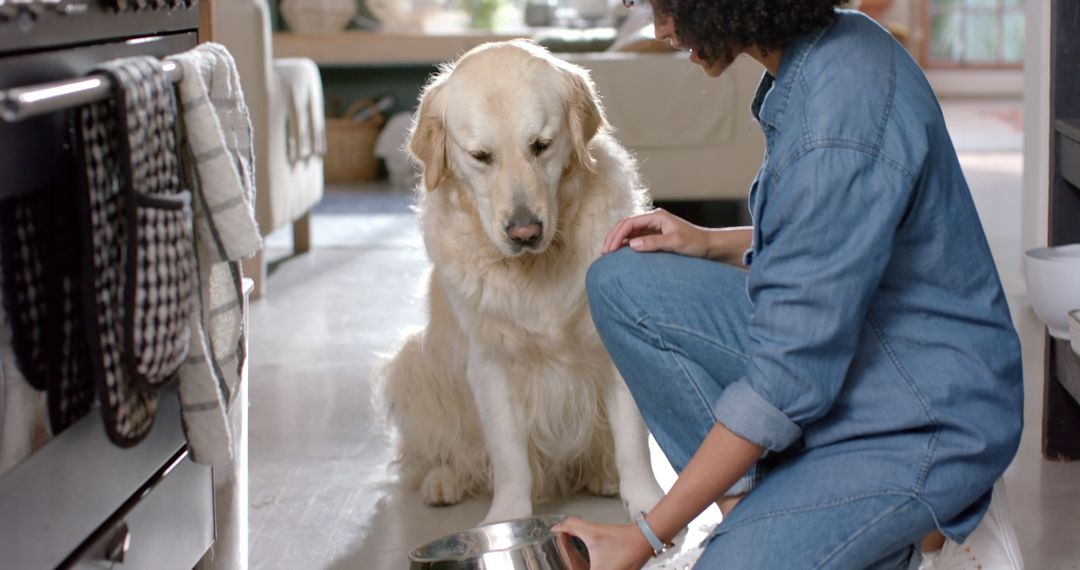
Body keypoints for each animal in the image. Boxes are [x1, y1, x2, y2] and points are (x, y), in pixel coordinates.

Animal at [380, 38, 665, 524]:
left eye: (541, 146)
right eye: (480, 156)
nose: (525, 232)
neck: (538, 268)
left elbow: (631, 441)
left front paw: (646, 502)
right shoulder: (491, 363)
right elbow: (509, 455)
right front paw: (507, 517)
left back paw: (603, 475)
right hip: (413, 363)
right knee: (443, 451)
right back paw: (443, 480)